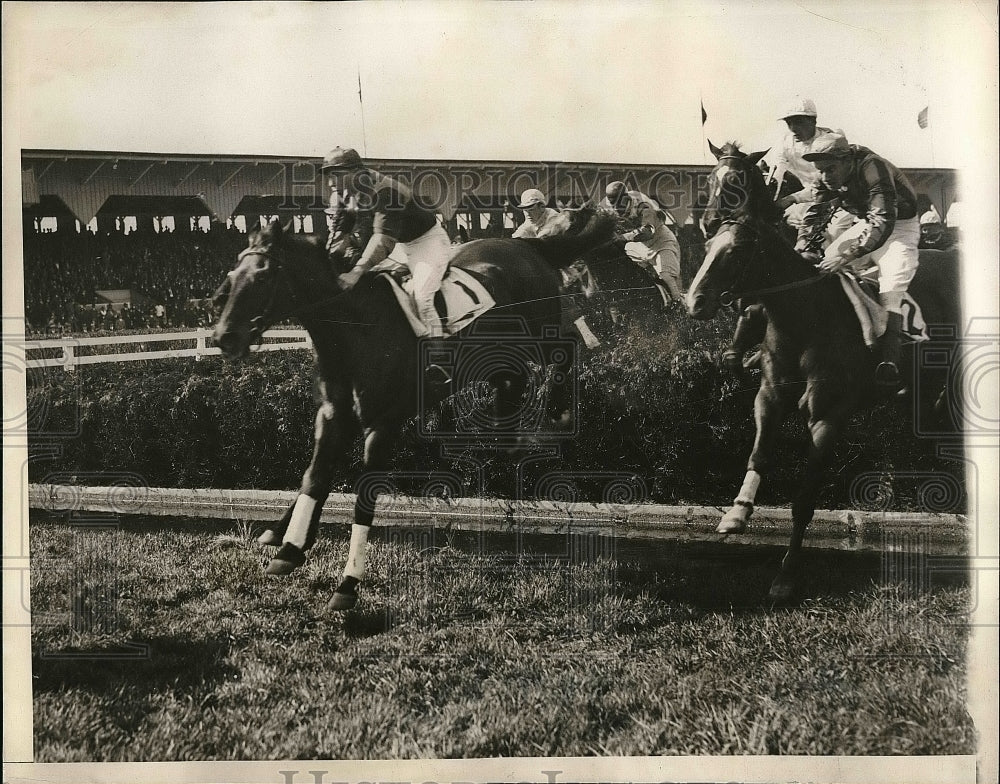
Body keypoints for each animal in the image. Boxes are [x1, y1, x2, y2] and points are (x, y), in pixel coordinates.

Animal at [215, 211, 612, 608]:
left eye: (264, 276)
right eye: (232, 276)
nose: (224, 337)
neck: (358, 331)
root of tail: (529, 245)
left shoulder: (383, 425)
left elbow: (363, 497)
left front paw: (347, 584)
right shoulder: (332, 416)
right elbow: (313, 478)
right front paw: (289, 548)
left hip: (540, 333)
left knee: (566, 348)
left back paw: (558, 412)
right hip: (499, 356)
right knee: (511, 383)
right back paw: (509, 432)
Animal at [688, 144, 960, 604]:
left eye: (738, 251)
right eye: (709, 244)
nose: (694, 301)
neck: (803, 316)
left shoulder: (827, 416)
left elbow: (804, 499)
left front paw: (786, 575)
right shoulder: (769, 396)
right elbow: (758, 454)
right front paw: (735, 514)